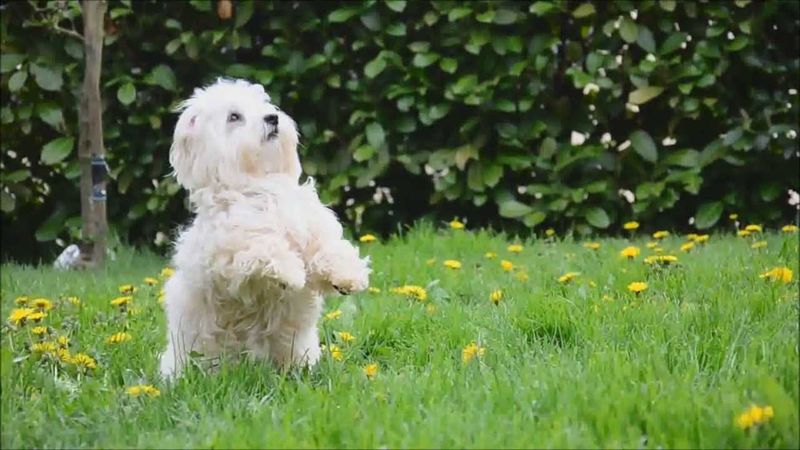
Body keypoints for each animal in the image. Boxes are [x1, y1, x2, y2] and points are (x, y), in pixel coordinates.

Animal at [162, 79, 372, 378]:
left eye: (264, 105)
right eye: (234, 116)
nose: (272, 118)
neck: (261, 183)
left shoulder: (311, 228)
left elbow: (330, 249)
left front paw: (349, 276)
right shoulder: (229, 256)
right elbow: (264, 247)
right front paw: (290, 273)